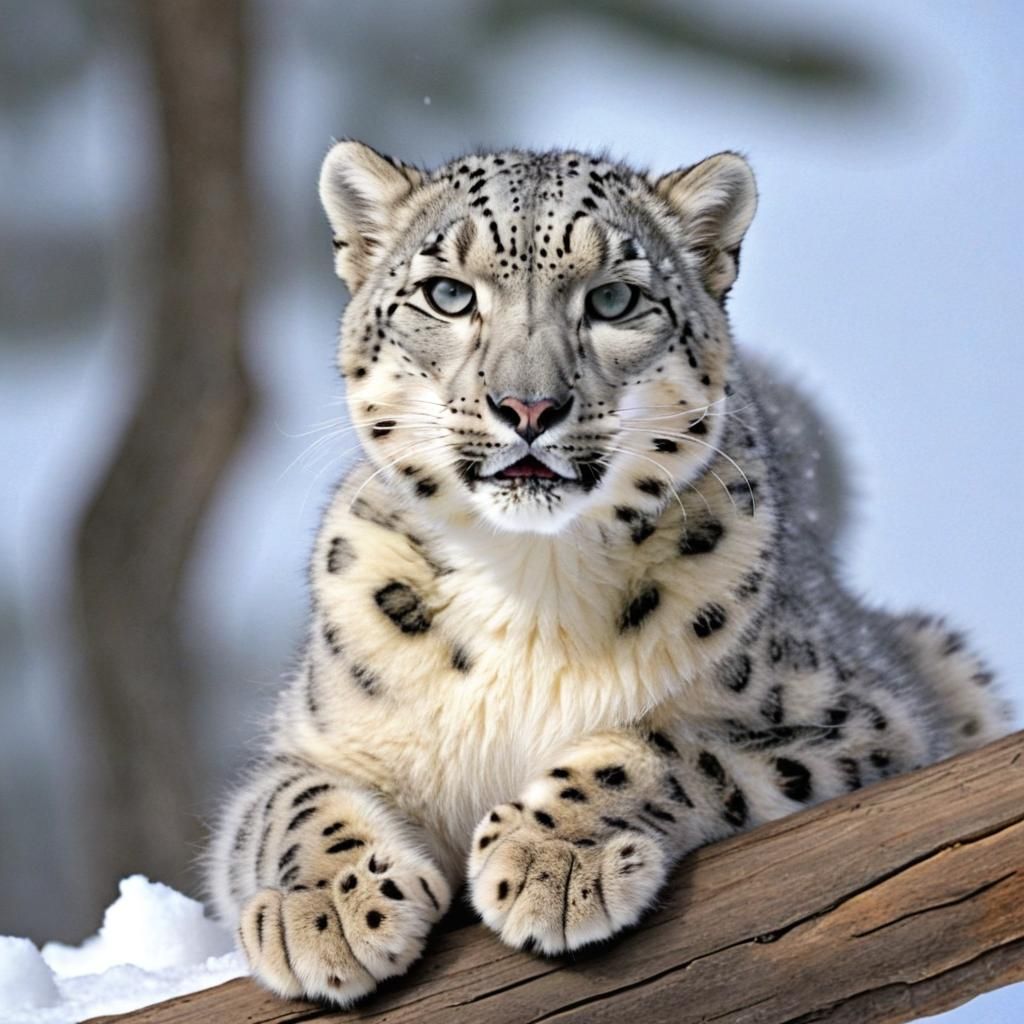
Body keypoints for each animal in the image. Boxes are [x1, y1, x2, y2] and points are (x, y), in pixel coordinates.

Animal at [206, 141, 1011, 1006]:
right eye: (447, 293)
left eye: (615, 298)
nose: (527, 407)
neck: (529, 584)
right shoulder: (314, 743)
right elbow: (286, 804)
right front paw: (327, 908)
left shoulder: (861, 722)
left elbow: (673, 746)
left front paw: (549, 857)